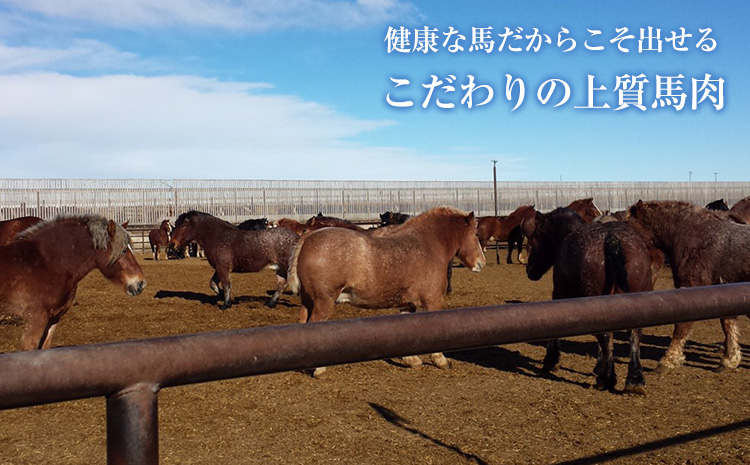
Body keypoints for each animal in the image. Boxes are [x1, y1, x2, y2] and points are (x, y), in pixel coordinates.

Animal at [170, 212, 300, 310]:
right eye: (175, 225)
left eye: (183, 226)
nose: (172, 244)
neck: (216, 236)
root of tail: (297, 238)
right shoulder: (219, 268)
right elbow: (213, 283)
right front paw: (226, 297)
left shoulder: (223, 267)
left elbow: (226, 284)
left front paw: (226, 304)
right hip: (280, 269)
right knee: (282, 284)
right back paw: (271, 303)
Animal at [288, 207, 488, 376]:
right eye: (476, 234)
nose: (481, 263)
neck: (427, 245)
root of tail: (308, 240)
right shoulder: (433, 301)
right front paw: (440, 360)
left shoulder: (408, 304)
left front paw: (411, 360)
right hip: (323, 301)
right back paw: (319, 369)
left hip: (307, 300)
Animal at [524, 207, 656, 392]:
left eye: (535, 237)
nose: (529, 270)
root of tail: (612, 239)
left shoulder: (559, 293)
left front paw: (551, 360)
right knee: (634, 335)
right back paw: (634, 381)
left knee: (606, 335)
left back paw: (606, 378)